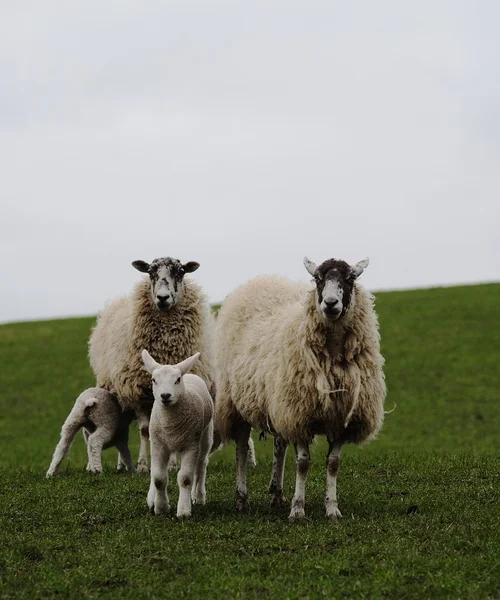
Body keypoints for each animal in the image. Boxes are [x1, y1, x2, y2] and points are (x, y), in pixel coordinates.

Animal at [88, 255, 217, 472]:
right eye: (150, 272)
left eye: (180, 271)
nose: (163, 298)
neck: (166, 349)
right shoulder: (138, 392)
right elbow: (144, 430)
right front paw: (142, 466)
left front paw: (172, 465)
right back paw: (118, 466)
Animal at [144, 350, 216, 516]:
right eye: (153, 380)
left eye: (177, 380)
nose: (165, 395)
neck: (170, 425)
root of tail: (188, 374)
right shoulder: (159, 444)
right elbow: (158, 478)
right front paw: (161, 507)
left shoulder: (191, 445)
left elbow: (185, 478)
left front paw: (183, 510)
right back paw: (151, 498)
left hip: (205, 436)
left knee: (201, 464)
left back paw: (198, 496)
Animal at [216, 256, 386, 520]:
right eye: (317, 278)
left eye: (350, 278)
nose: (330, 303)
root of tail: (260, 280)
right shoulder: (300, 414)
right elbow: (303, 463)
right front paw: (297, 509)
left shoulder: (341, 416)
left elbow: (333, 463)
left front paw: (332, 508)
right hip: (236, 402)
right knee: (242, 449)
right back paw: (242, 499)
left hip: (278, 403)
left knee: (279, 445)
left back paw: (276, 494)